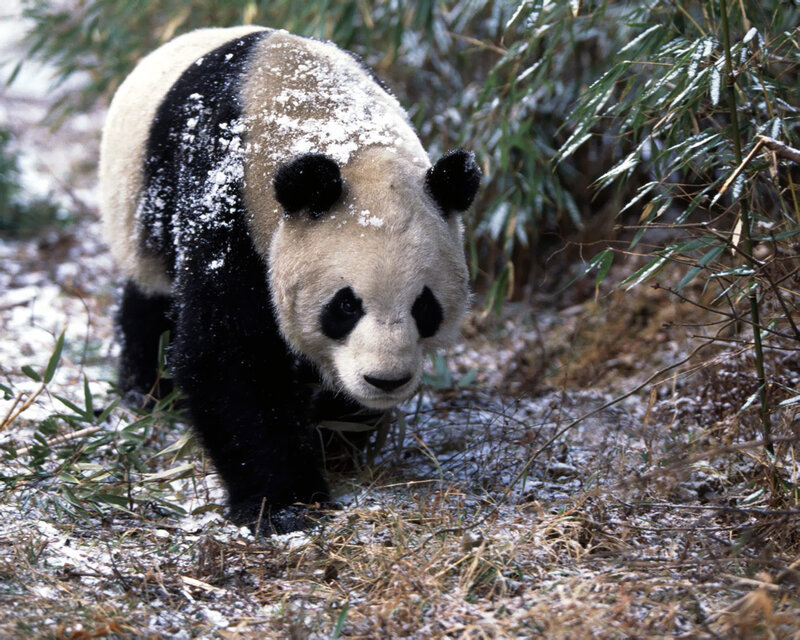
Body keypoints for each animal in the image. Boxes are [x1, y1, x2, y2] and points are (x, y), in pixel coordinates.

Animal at [99, 27, 481, 533]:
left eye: (425, 306)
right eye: (345, 306)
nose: (386, 379)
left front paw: (333, 439)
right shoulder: (226, 201)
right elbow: (229, 355)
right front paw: (285, 504)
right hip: (141, 207)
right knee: (151, 296)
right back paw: (149, 390)